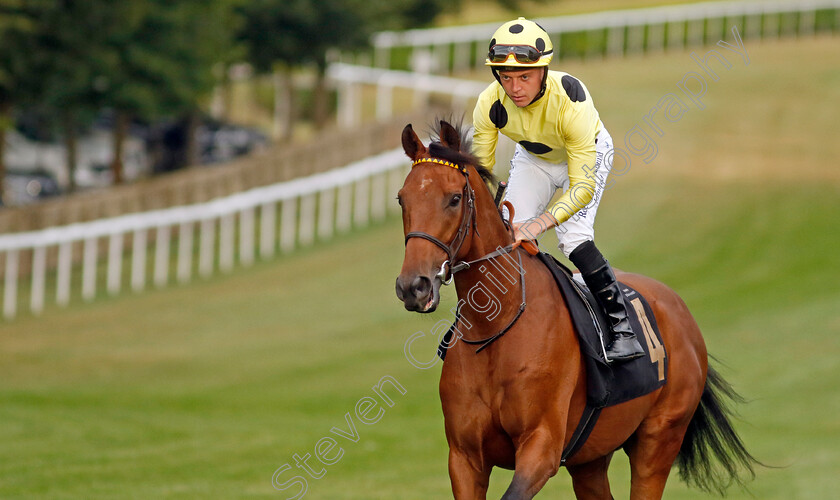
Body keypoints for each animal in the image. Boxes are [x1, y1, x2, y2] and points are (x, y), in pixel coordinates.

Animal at [394, 121, 756, 500]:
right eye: (402, 198)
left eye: (454, 198)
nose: (413, 286)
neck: (495, 330)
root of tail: (679, 309)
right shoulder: (465, 458)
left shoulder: (541, 448)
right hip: (591, 458)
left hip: (659, 439)